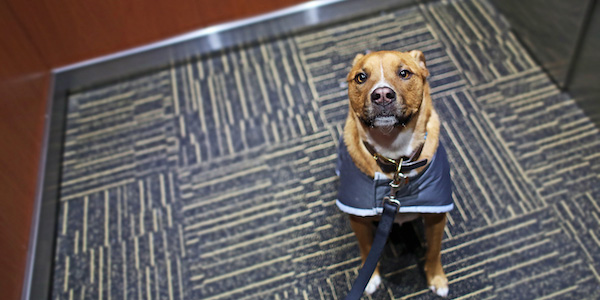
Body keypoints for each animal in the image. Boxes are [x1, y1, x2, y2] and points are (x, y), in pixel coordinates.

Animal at [336, 50, 452, 296]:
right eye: (361, 77)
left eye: (404, 73)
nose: (381, 95)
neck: (394, 157)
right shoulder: (358, 218)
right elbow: (366, 248)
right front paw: (370, 278)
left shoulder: (437, 215)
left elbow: (434, 250)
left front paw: (436, 278)